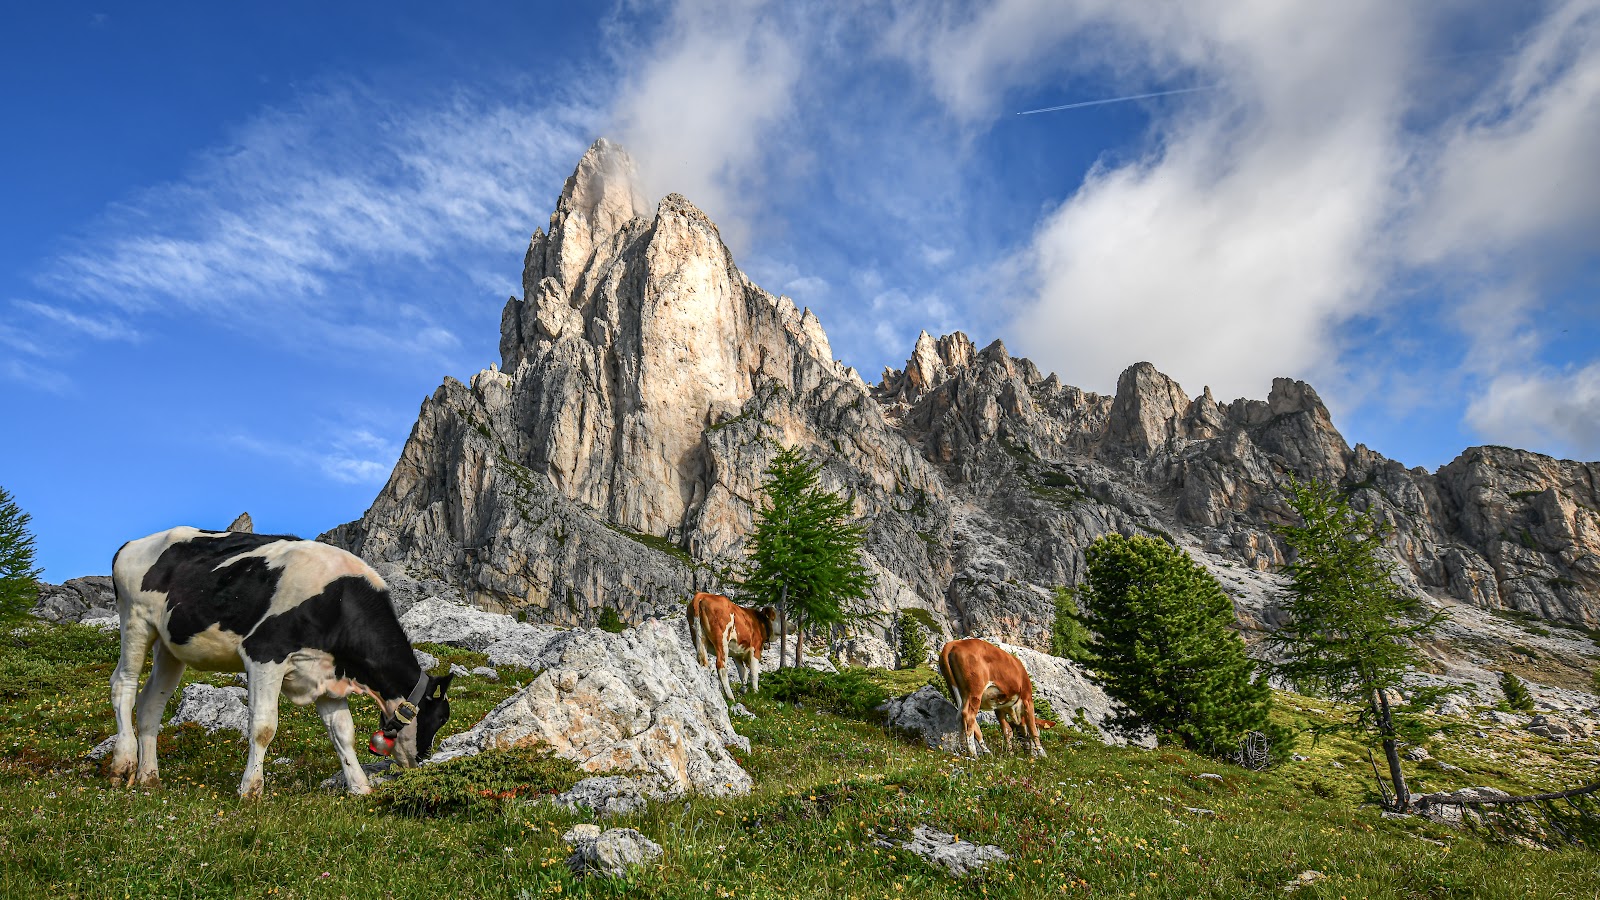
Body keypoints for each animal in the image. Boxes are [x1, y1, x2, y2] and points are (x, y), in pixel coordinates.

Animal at [110, 525, 451, 791]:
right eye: (438, 718)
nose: (422, 760)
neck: (339, 601)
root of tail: (130, 544)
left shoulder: (326, 675)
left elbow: (343, 733)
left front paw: (360, 787)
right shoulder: (264, 654)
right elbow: (263, 727)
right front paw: (251, 789)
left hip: (170, 645)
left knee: (151, 703)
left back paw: (149, 777)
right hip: (135, 620)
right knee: (122, 685)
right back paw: (123, 763)